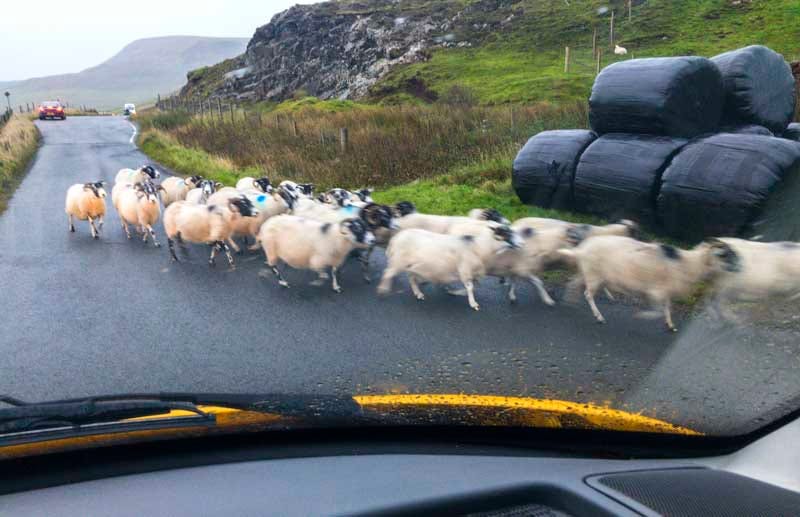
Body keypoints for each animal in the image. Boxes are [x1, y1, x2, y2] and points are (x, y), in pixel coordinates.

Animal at [378, 223, 520, 310]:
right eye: (507, 233)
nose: (521, 243)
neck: (480, 247)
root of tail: (395, 238)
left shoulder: (470, 273)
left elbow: (471, 287)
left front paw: (453, 292)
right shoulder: (465, 270)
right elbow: (470, 288)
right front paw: (473, 304)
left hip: (410, 264)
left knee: (411, 279)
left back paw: (418, 293)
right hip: (398, 261)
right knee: (388, 273)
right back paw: (382, 290)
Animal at [560, 235, 740, 330]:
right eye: (723, 254)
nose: (739, 267)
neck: (690, 263)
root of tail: (582, 248)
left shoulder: (665, 291)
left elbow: (667, 308)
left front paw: (670, 325)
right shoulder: (656, 292)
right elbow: (658, 310)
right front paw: (643, 316)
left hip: (587, 272)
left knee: (573, 283)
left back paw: (570, 301)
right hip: (593, 275)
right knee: (588, 294)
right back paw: (599, 317)